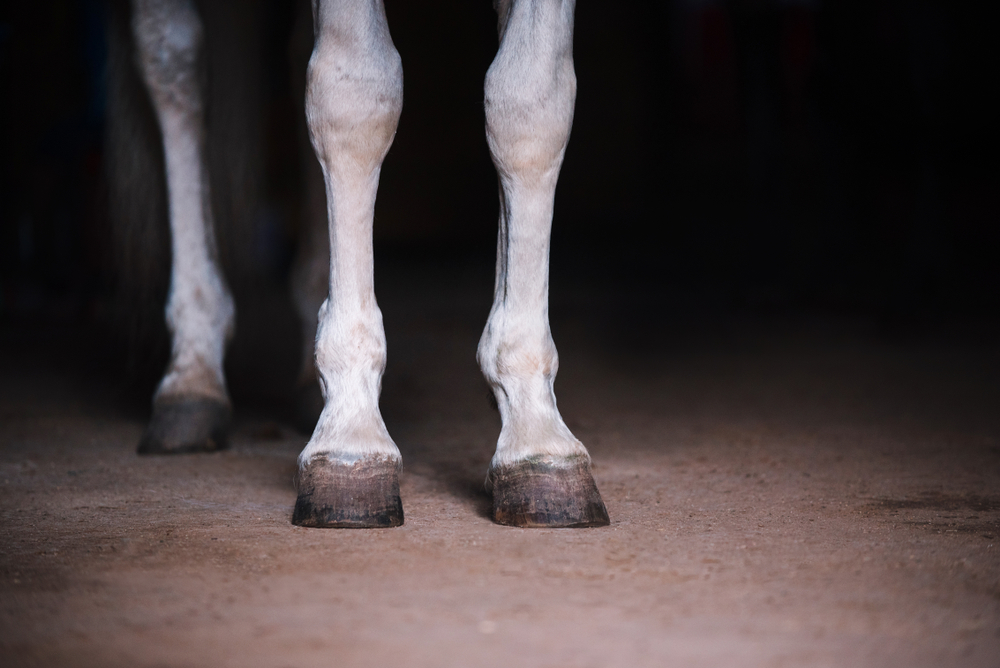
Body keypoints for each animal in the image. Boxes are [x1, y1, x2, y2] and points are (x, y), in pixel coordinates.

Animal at [125, 0, 608, 528]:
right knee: (174, 60)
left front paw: (537, 435)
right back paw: (193, 373)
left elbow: (530, 103)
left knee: (288, 51)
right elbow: (355, 93)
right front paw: (351, 436)